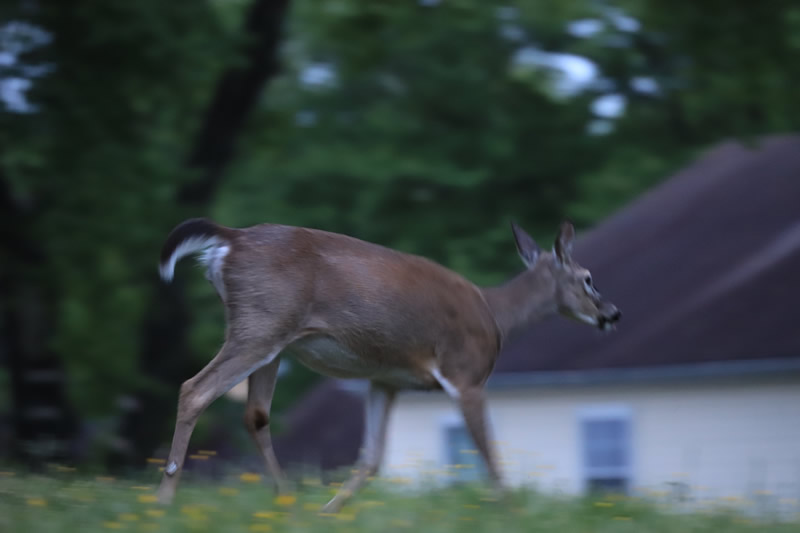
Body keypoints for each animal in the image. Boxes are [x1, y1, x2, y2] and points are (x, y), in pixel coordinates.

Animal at [153, 217, 620, 512]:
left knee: (255, 415)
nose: (612, 314)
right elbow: (489, 453)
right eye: (588, 279)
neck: (495, 315)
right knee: (194, 389)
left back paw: (285, 501)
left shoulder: (385, 380)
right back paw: (164, 500)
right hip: (262, 325)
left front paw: (329, 511)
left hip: (271, 337)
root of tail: (229, 239)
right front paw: (511, 512)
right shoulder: (465, 374)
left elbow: (373, 458)